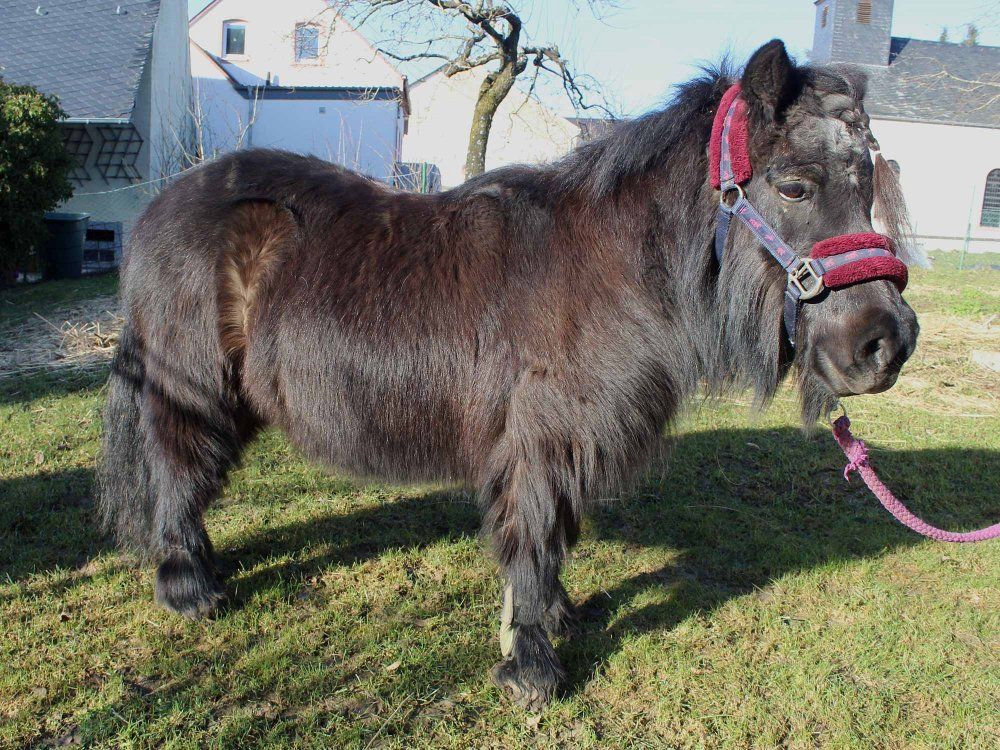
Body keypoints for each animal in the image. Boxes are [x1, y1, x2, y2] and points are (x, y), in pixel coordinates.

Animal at [99, 40, 919, 710]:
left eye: (865, 181)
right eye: (795, 185)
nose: (887, 342)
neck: (610, 267)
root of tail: (162, 206)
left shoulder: (570, 445)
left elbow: (556, 538)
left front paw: (558, 620)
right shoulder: (539, 444)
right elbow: (533, 540)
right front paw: (531, 668)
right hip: (194, 392)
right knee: (177, 473)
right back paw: (190, 588)